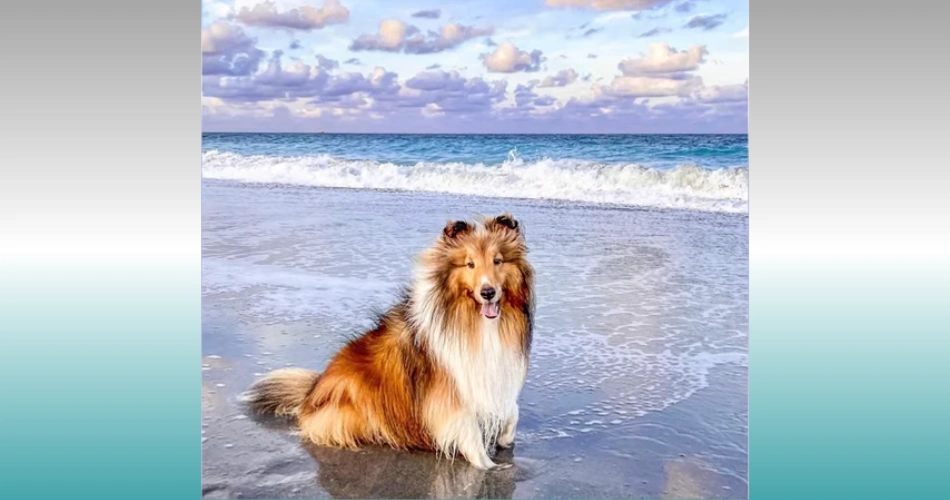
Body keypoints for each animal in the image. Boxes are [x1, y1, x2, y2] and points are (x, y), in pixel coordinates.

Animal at [244, 213, 536, 470]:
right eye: (470, 264)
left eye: (497, 261)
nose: (488, 293)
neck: (475, 320)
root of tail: (311, 392)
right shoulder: (449, 388)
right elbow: (469, 428)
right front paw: (488, 466)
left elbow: (512, 410)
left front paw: (504, 438)